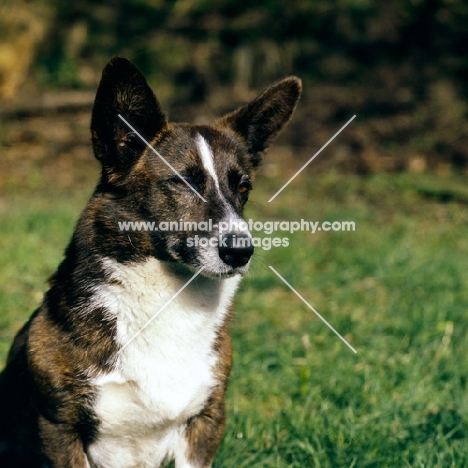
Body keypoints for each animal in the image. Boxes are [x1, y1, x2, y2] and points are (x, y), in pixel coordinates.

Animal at [0, 56, 300, 466]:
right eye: (182, 183)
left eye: (243, 188)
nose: (240, 251)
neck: (169, 296)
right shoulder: (59, 426)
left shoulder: (205, 420)